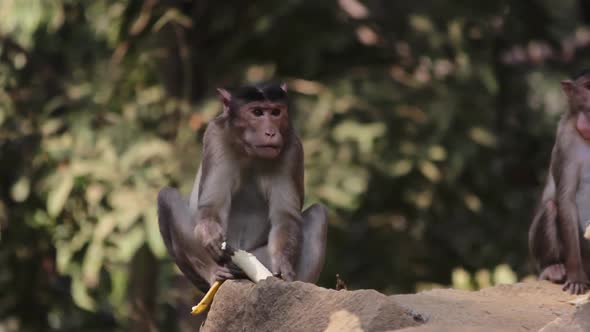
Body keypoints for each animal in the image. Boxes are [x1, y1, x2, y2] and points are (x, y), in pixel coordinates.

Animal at [157, 81, 328, 292]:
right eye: (257, 112)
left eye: (276, 112)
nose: (271, 132)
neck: (250, 152)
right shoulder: (216, 136)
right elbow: (211, 206)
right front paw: (212, 237)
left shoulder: (293, 147)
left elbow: (286, 216)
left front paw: (284, 266)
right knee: (166, 197)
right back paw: (215, 274)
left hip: (260, 258)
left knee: (319, 214)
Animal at [532, 70, 590, 296]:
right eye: (588, 87)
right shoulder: (566, 140)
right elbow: (565, 199)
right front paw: (576, 278)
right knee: (551, 207)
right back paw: (553, 268)